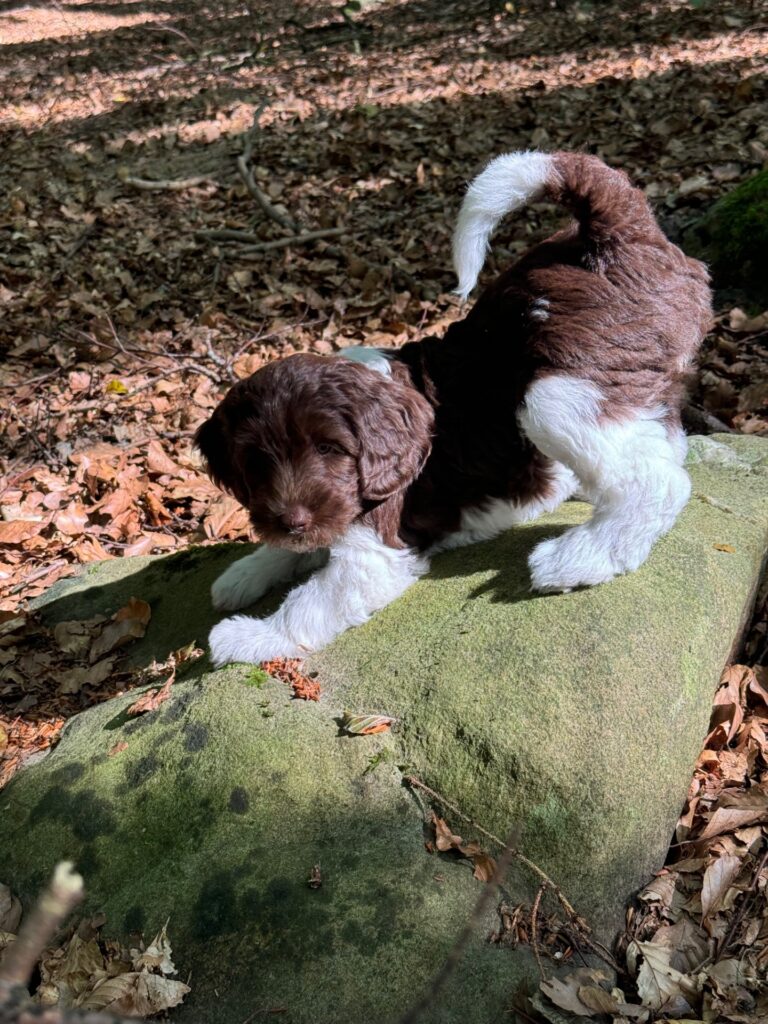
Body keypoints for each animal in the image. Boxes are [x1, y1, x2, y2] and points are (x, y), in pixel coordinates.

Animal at [195, 149, 712, 663]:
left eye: (330, 449)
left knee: (658, 481)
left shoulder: (377, 550)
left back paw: (578, 558)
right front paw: (243, 574)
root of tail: (608, 235)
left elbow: (314, 601)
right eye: (256, 463)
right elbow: (290, 548)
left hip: (557, 394)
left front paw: (247, 636)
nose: (291, 520)